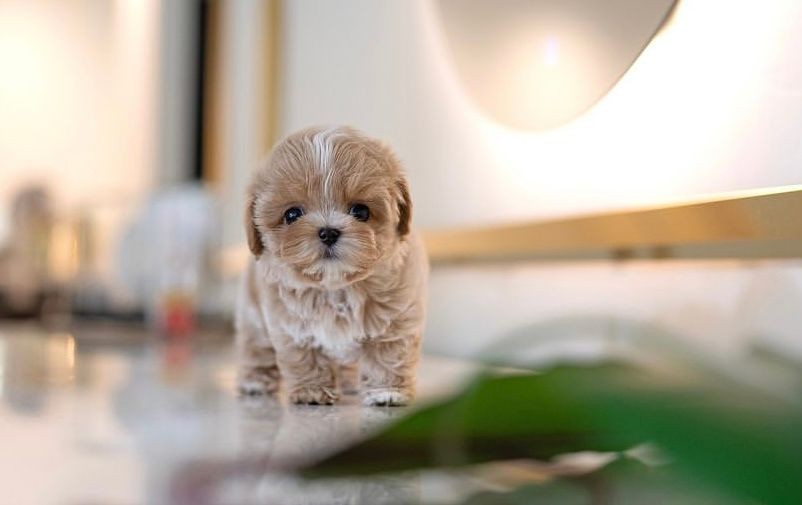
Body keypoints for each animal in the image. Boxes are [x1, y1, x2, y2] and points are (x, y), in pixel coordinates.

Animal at [236, 126, 428, 406]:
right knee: (256, 347)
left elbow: (388, 354)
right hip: (253, 315)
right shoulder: (288, 324)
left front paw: (387, 392)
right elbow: (304, 356)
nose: (328, 232)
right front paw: (312, 391)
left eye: (361, 211)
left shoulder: (397, 316)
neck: (336, 287)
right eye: (292, 214)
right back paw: (254, 381)